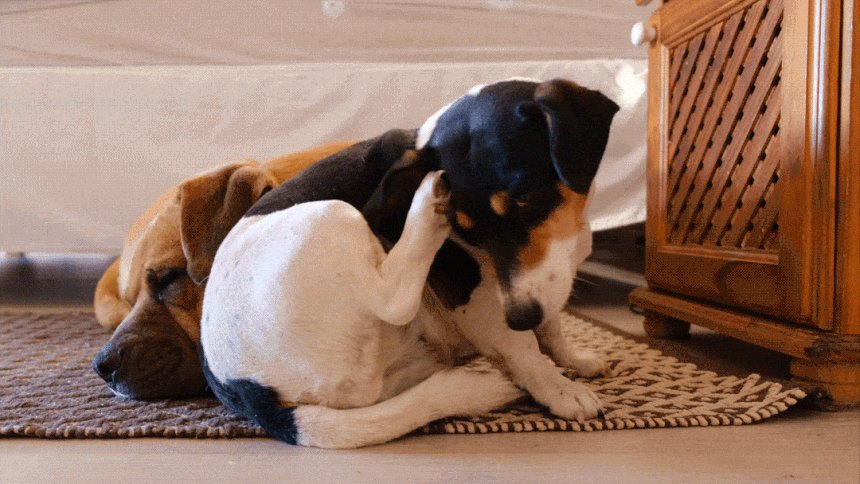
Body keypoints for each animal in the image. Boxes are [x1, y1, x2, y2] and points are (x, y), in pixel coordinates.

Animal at [200, 78, 620, 448]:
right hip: (329, 214)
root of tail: (249, 393)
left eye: (526, 198)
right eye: (464, 230)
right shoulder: (477, 302)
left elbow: (552, 327)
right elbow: (526, 350)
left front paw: (575, 360)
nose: (519, 317)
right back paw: (426, 203)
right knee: (395, 300)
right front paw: (560, 389)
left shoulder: (539, 287)